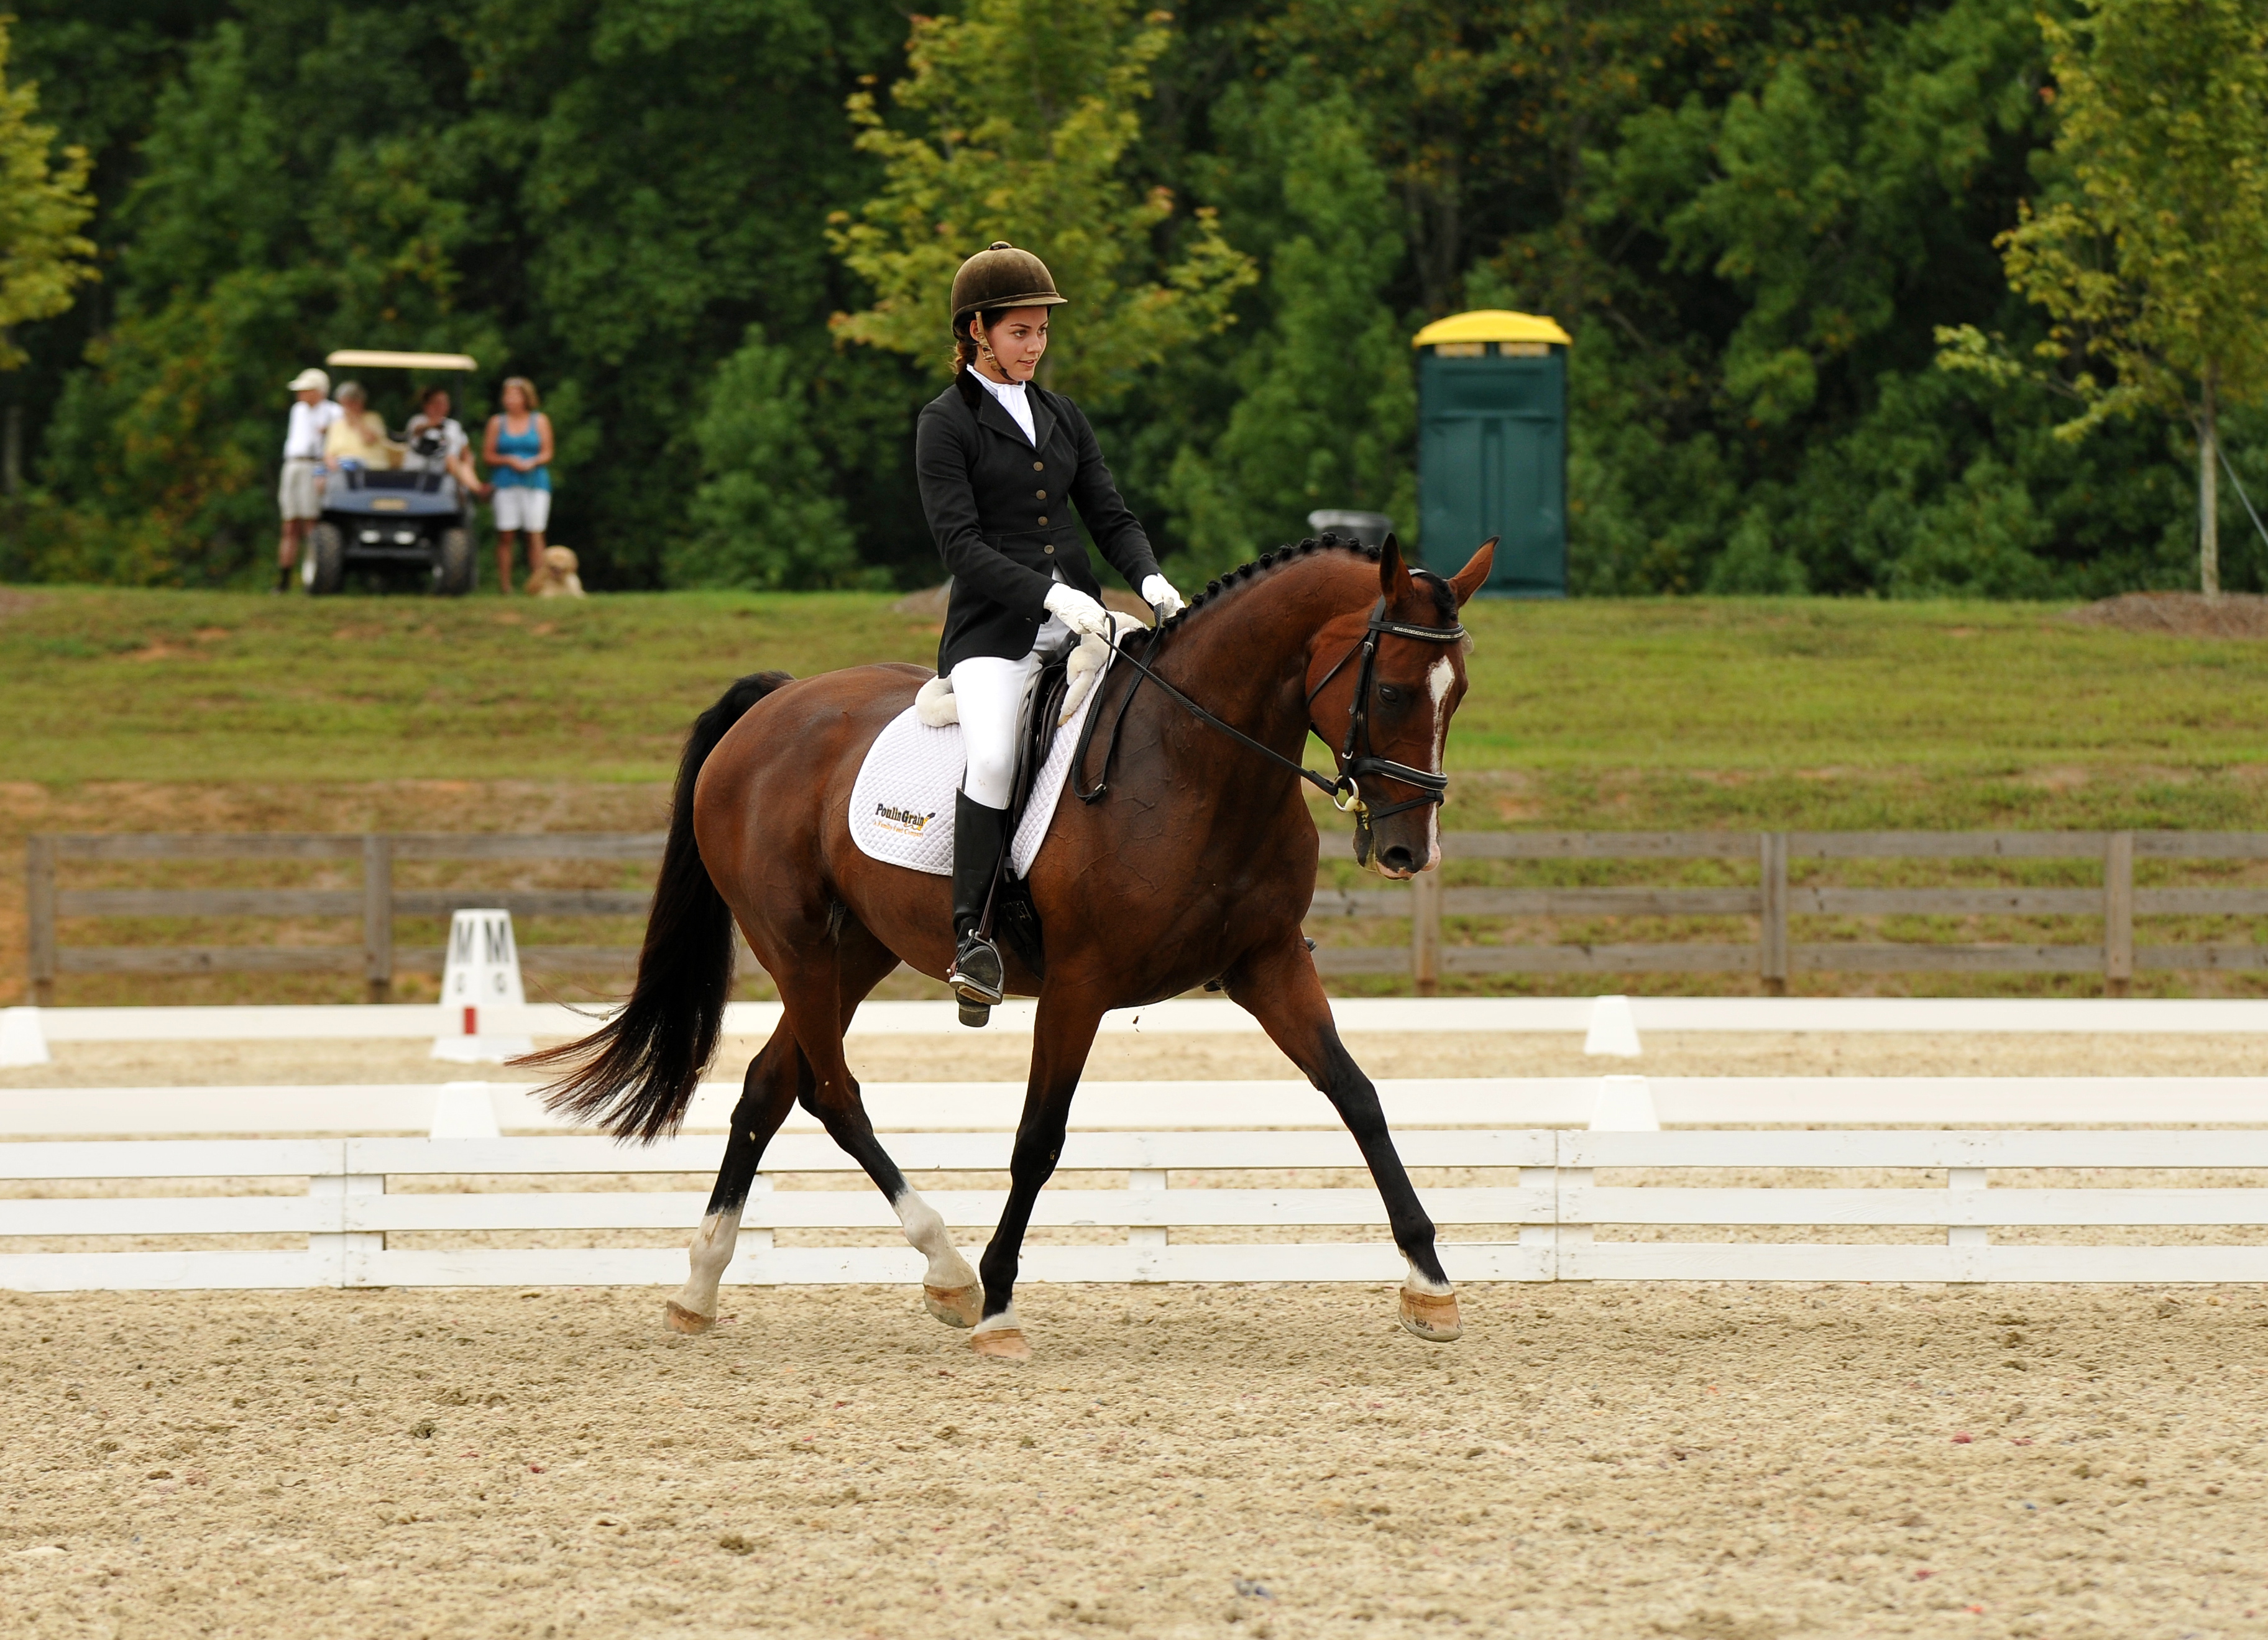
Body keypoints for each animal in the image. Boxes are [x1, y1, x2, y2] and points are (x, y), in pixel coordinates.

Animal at [521, 535, 1497, 1361]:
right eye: (1392, 690)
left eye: (1456, 694)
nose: (1408, 850)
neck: (1195, 761)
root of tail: (774, 704)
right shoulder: (1079, 985)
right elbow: (1038, 1136)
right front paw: (998, 1304)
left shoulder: (1268, 962)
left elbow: (1358, 1096)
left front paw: (1430, 1284)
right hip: (793, 943)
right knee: (833, 1092)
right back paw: (949, 1271)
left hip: (857, 950)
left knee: (770, 1085)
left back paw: (700, 1285)